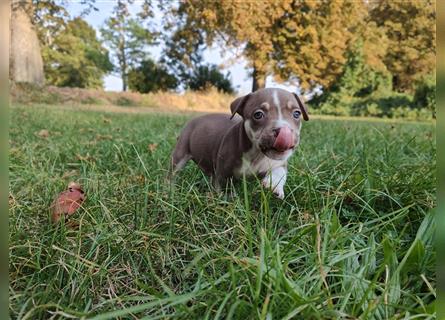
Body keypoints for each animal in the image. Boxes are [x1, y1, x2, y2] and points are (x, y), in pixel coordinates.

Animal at [170, 87, 308, 198]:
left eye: (297, 114)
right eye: (258, 115)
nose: (284, 131)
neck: (256, 154)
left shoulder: (278, 163)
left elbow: (280, 172)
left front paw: (273, 185)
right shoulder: (223, 171)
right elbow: (221, 185)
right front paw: (225, 199)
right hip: (181, 151)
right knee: (173, 171)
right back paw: (169, 188)